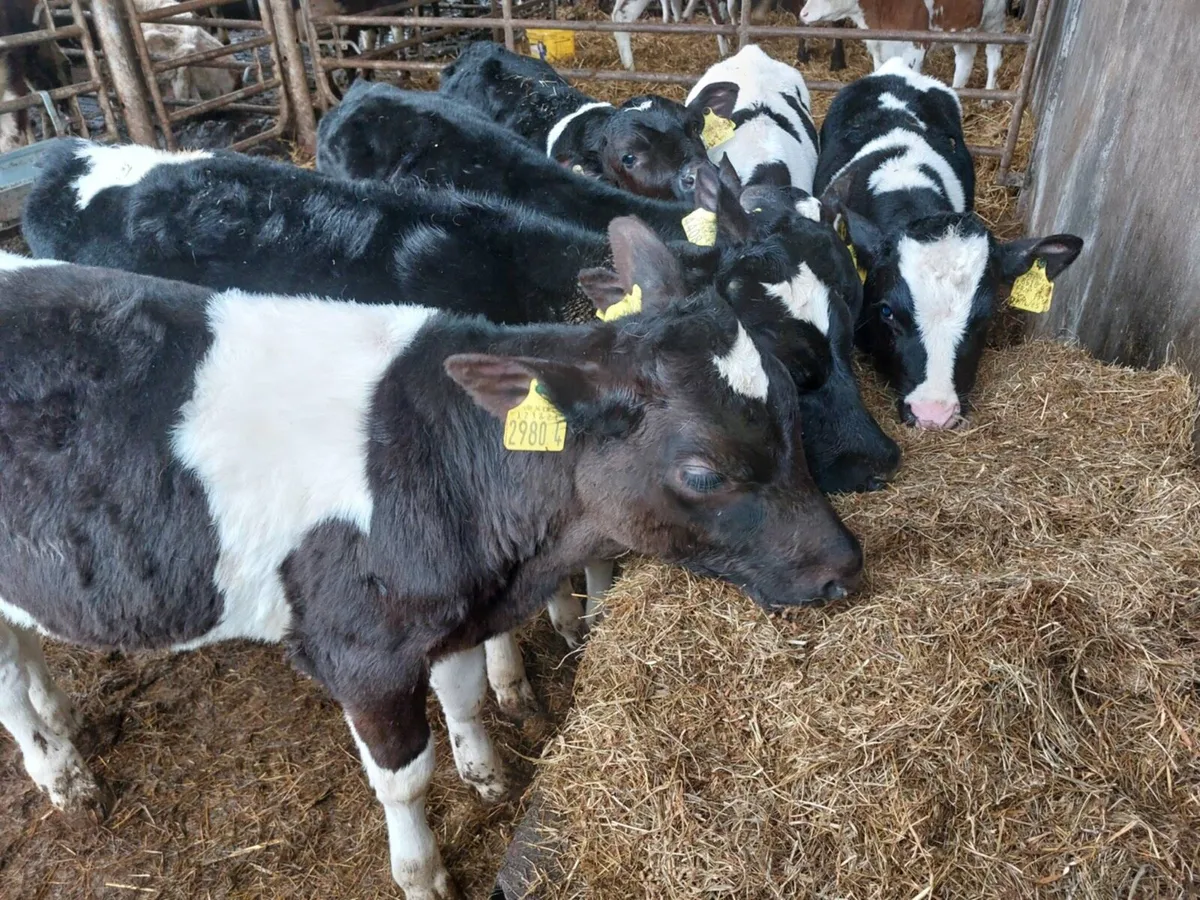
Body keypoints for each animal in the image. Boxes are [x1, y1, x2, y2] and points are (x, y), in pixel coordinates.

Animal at [0, 242, 861, 899]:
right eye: (703, 472)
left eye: (792, 407)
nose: (843, 567)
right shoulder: (362, 651)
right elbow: (406, 780)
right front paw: (423, 876)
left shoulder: (450, 616)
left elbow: (467, 696)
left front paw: (489, 777)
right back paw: (62, 775)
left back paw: (61, 716)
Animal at [799, 0, 1009, 91]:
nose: (803, 14)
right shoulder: (879, 47)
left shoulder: (915, 47)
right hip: (963, 29)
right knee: (965, 59)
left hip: (995, 21)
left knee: (993, 58)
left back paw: (988, 96)